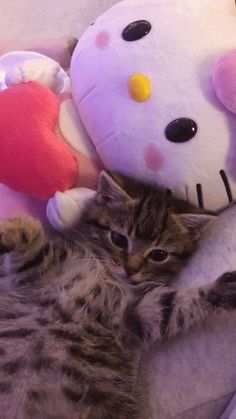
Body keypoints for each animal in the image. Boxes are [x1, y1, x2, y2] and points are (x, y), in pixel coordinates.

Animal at [0, 171, 234, 419]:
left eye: (159, 255)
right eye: (118, 239)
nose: (131, 269)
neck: (108, 277)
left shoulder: (131, 316)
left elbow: (171, 306)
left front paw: (223, 289)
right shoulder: (30, 275)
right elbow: (32, 234)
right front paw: (7, 231)